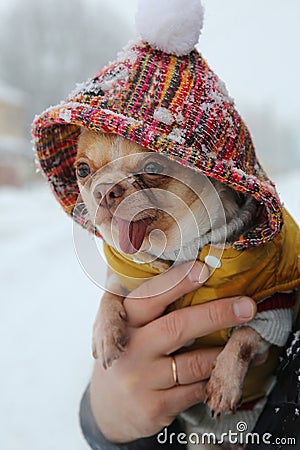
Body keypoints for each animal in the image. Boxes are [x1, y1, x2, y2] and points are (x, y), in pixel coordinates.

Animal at [75, 127, 270, 418]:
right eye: (82, 170)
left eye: (153, 167)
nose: (104, 189)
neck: (173, 248)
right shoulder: (126, 279)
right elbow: (110, 292)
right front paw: (105, 332)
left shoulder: (275, 306)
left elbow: (244, 338)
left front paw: (224, 383)